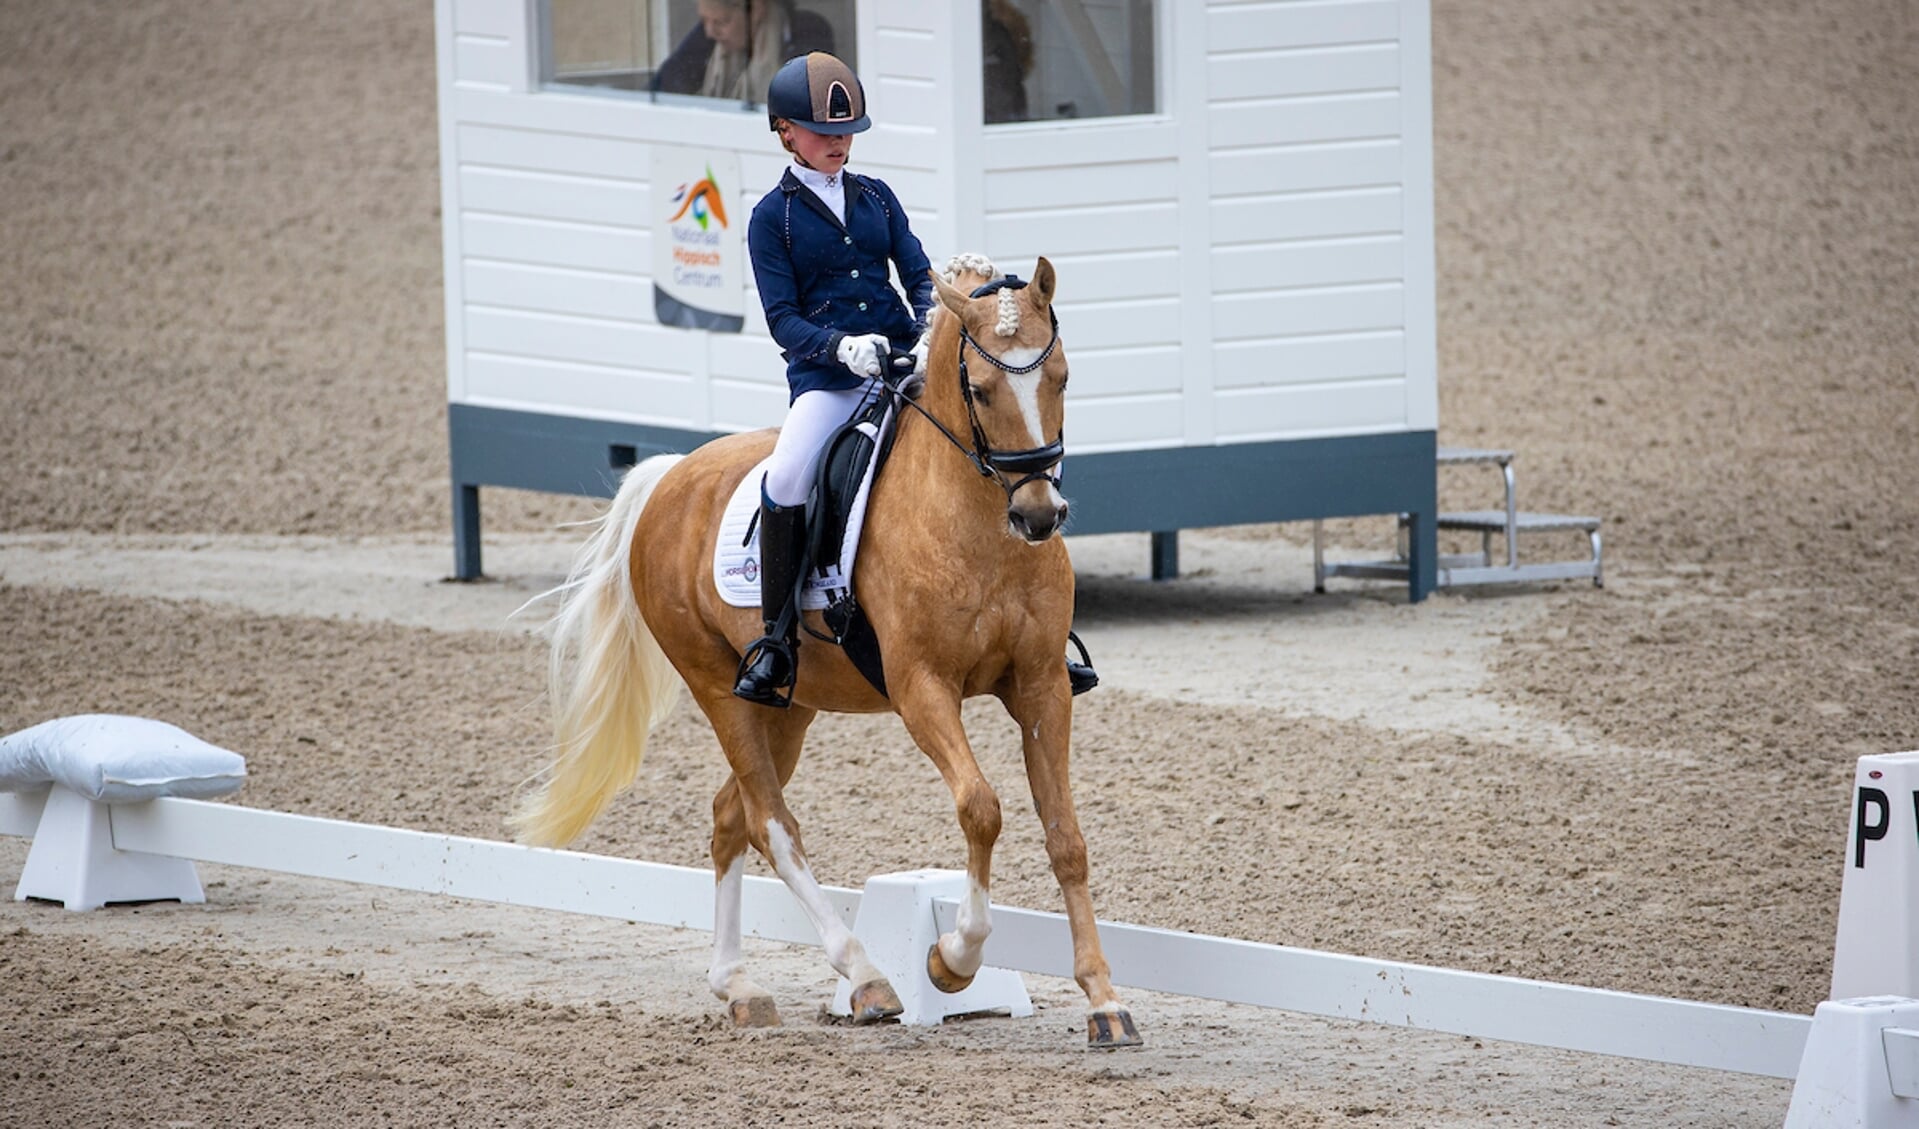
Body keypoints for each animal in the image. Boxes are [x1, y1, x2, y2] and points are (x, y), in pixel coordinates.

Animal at [514, 255, 1136, 1052]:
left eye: (1060, 375)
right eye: (980, 389)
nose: (1037, 516)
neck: (974, 527)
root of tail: (671, 477)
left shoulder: (1041, 685)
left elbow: (1065, 837)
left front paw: (1103, 1000)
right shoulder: (921, 688)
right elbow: (980, 808)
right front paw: (952, 959)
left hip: (790, 706)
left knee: (731, 815)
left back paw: (740, 986)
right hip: (719, 689)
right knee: (771, 823)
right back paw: (866, 977)